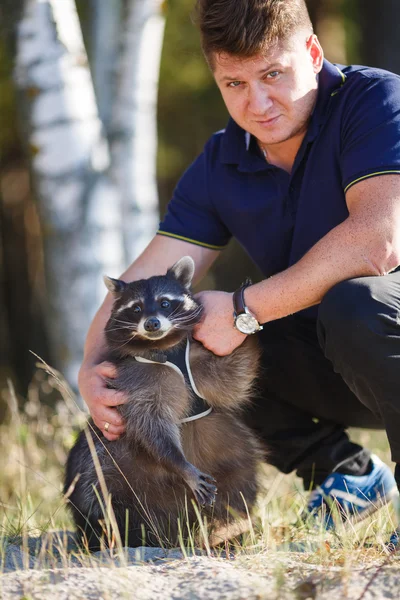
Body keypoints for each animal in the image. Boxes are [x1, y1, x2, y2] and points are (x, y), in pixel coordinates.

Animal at [65, 256, 262, 548]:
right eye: (136, 308)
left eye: (165, 303)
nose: (152, 324)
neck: (165, 347)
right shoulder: (133, 382)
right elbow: (150, 425)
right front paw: (179, 463)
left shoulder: (200, 359)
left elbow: (234, 375)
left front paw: (249, 332)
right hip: (107, 470)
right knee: (102, 497)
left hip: (233, 455)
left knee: (238, 490)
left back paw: (226, 532)